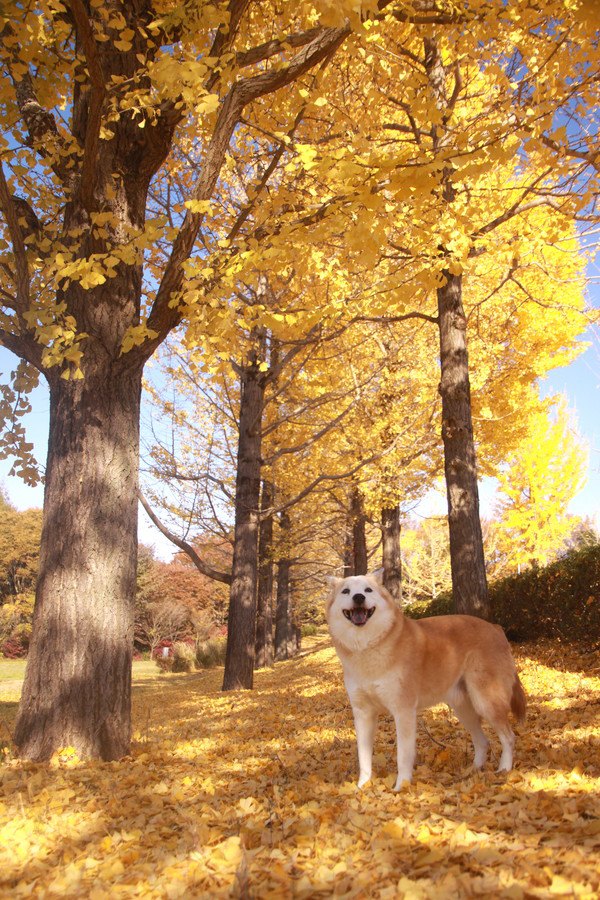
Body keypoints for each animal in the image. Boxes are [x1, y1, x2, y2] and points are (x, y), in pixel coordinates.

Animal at [326, 568, 528, 788]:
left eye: (367, 590)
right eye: (346, 591)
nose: (358, 597)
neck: (367, 646)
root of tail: (495, 627)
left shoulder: (403, 711)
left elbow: (403, 756)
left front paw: (401, 787)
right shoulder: (363, 713)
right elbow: (363, 756)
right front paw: (363, 786)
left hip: (486, 702)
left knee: (509, 737)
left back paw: (504, 769)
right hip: (464, 709)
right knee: (482, 741)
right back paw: (472, 772)